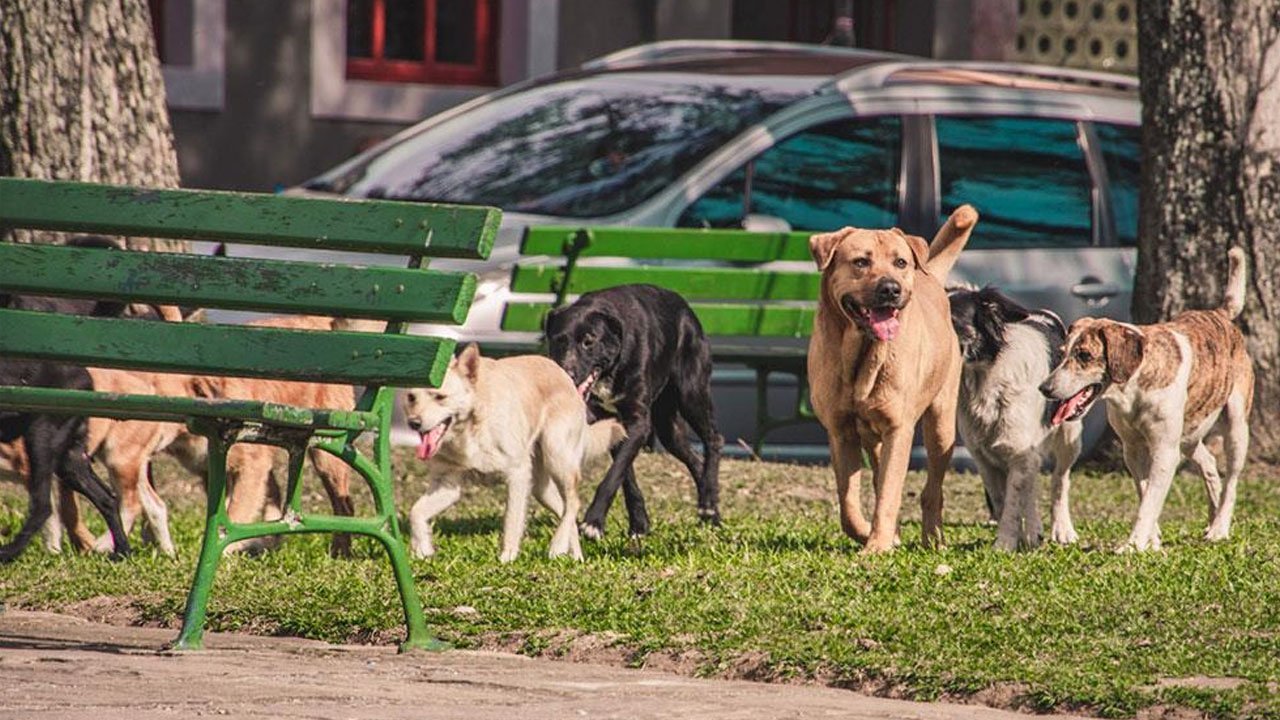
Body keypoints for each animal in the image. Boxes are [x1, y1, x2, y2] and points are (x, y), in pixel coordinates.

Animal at [399, 345, 619, 563]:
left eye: (440, 397)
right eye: (411, 397)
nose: (414, 423)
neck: (471, 426)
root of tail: (563, 374)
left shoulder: (517, 474)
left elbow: (511, 520)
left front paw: (507, 558)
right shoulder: (447, 485)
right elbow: (415, 512)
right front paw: (422, 548)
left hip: (557, 458)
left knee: (574, 502)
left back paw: (557, 546)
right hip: (541, 488)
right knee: (565, 509)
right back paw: (573, 555)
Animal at [540, 283, 721, 535]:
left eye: (588, 341)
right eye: (558, 341)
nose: (567, 373)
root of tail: (688, 310)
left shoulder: (638, 424)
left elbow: (613, 475)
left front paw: (593, 521)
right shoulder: (615, 426)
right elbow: (625, 478)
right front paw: (639, 524)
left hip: (691, 394)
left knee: (713, 438)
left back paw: (710, 501)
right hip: (668, 428)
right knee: (694, 459)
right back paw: (710, 510)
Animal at [808, 204, 977, 550]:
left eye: (900, 262)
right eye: (861, 261)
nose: (890, 288)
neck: (863, 354)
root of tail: (930, 277)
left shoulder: (899, 430)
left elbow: (889, 492)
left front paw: (877, 545)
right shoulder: (841, 431)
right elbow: (848, 501)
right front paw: (867, 533)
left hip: (940, 425)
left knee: (932, 489)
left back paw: (932, 537)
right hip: (874, 436)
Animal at [1039, 245, 1249, 548]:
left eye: (1085, 356)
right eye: (1062, 353)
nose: (1044, 388)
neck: (1133, 390)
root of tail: (1220, 314)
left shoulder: (1164, 450)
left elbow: (1150, 501)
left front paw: (1134, 544)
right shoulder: (1132, 448)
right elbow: (1144, 490)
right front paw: (1152, 538)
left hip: (1236, 426)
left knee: (1231, 478)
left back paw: (1220, 527)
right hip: (1189, 434)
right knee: (1209, 462)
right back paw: (1211, 518)